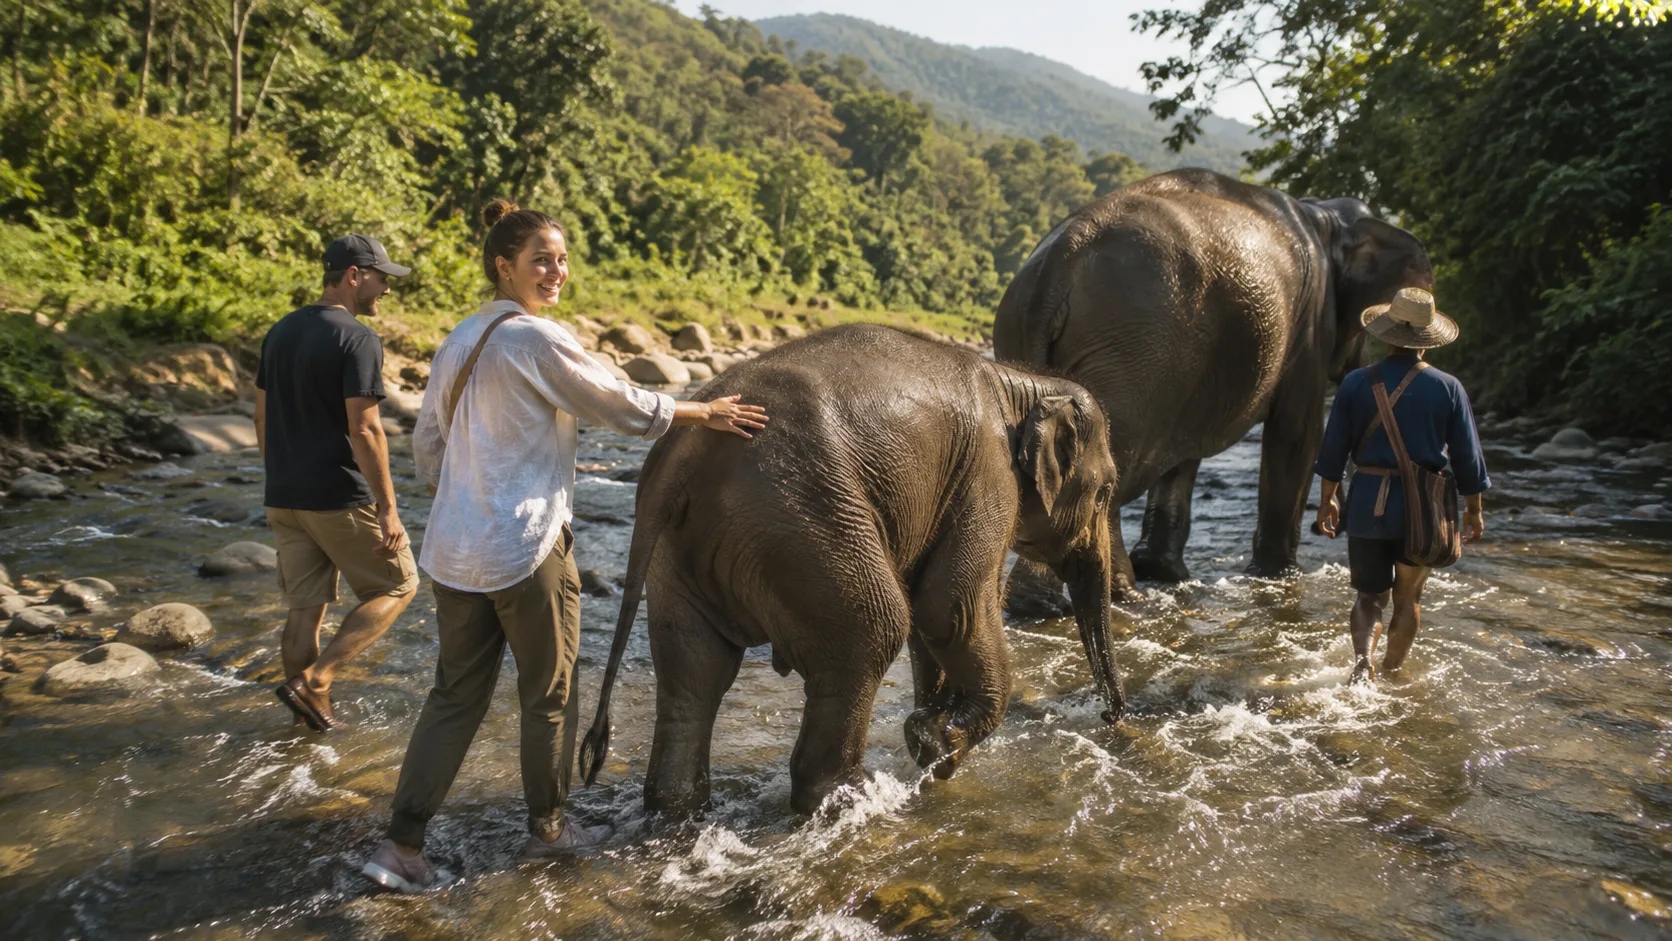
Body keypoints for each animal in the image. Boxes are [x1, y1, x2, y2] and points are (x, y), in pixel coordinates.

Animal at [580, 324, 1124, 817]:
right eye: (1105, 492)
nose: (1108, 715)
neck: (1023, 383)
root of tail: (676, 455)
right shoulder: (989, 476)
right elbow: (950, 606)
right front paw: (937, 744)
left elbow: (929, 615)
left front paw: (927, 734)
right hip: (802, 516)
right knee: (872, 632)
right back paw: (848, 802)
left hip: (681, 551)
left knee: (694, 670)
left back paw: (676, 811)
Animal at [993, 168, 1433, 597]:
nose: (1327, 524)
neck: (1324, 213)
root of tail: (1055, 268)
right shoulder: (1310, 327)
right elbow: (1297, 436)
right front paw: (1279, 574)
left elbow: (1183, 456)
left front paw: (1165, 572)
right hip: (1135, 352)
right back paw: (1119, 593)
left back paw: (1042, 601)